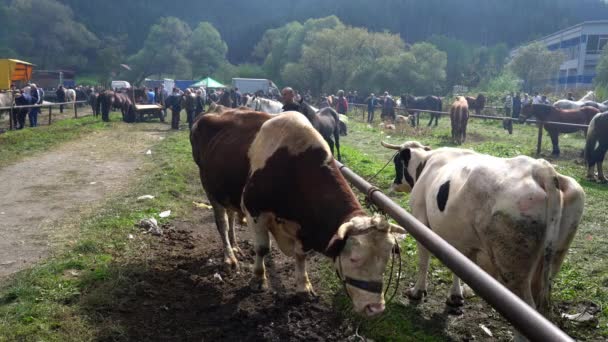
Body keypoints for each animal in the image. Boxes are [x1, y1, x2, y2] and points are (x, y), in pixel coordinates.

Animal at [192, 109, 406, 316]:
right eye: (354, 258)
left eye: (387, 259)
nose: (375, 308)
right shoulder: (254, 210)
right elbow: (262, 248)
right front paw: (258, 279)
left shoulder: (304, 229)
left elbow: (301, 255)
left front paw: (304, 287)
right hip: (210, 188)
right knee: (222, 223)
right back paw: (230, 257)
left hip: (228, 193)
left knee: (230, 215)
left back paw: (236, 247)